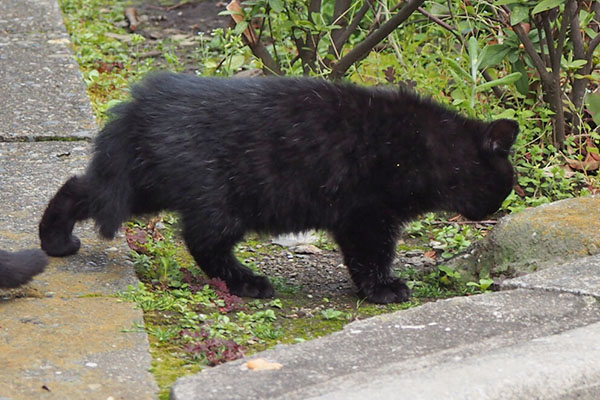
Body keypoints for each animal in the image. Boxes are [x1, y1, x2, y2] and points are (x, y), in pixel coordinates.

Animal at [38, 72, 516, 304]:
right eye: (504, 186)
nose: (496, 210)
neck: (427, 147)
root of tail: (143, 105)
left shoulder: (358, 218)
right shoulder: (368, 215)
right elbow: (371, 258)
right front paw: (383, 291)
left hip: (146, 186)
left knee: (80, 187)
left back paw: (55, 241)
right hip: (219, 200)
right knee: (204, 243)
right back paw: (249, 284)